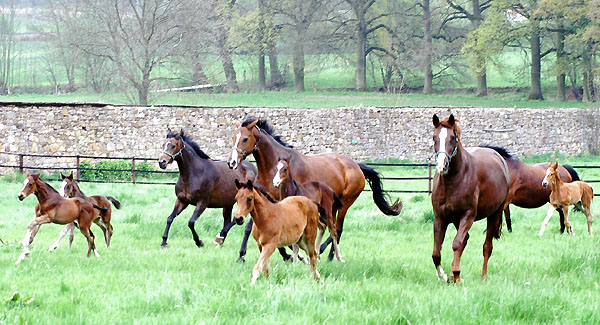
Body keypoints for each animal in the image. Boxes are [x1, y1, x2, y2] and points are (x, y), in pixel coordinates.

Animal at [227, 117, 400, 260]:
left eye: (245, 139)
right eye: (233, 137)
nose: (232, 162)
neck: (271, 169)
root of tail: (357, 166)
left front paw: (290, 254)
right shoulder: (260, 199)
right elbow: (250, 227)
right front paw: (241, 255)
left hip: (345, 203)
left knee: (338, 228)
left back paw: (326, 254)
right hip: (331, 207)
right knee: (331, 227)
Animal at [432, 115, 510, 282]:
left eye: (452, 138)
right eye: (434, 137)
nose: (442, 165)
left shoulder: (468, 216)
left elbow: (456, 244)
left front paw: (456, 274)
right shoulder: (440, 218)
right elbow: (436, 252)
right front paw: (445, 276)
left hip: (494, 214)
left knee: (487, 246)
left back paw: (483, 276)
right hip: (456, 220)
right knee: (465, 239)